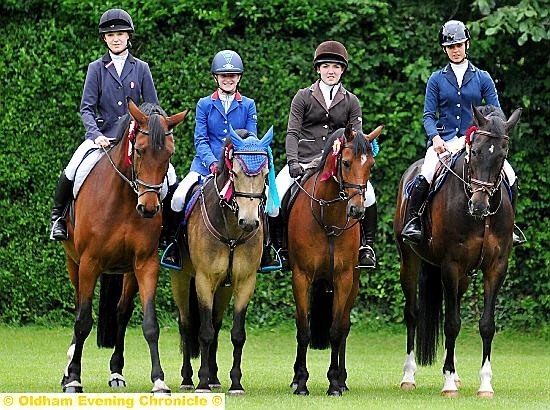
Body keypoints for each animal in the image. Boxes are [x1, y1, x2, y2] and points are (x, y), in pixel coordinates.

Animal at [60, 97, 190, 392]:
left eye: (169, 154)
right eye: (139, 151)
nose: (149, 209)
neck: (123, 199)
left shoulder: (145, 263)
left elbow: (150, 323)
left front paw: (159, 381)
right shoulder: (89, 263)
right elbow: (83, 321)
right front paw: (74, 378)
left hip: (127, 272)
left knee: (121, 313)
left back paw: (116, 372)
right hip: (74, 263)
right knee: (78, 307)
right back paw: (68, 369)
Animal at [169, 126, 274, 396]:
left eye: (265, 175)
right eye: (234, 173)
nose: (249, 222)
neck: (232, 232)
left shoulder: (245, 282)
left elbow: (236, 334)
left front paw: (235, 384)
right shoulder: (203, 281)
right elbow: (203, 332)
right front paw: (202, 383)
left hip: (224, 290)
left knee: (216, 326)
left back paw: (216, 378)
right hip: (181, 280)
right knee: (187, 325)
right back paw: (188, 379)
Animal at [288, 123, 384, 396]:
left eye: (371, 164)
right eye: (347, 163)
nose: (357, 211)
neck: (328, 216)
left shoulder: (344, 278)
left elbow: (336, 330)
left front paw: (333, 383)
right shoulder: (301, 277)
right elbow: (304, 329)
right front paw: (301, 382)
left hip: (354, 282)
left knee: (345, 326)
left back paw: (342, 379)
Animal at [396, 105, 520, 398]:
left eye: (502, 156)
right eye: (475, 152)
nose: (479, 205)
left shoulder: (496, 267)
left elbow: (486, 325)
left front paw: (484, 384)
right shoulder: (450, 265)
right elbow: (452, 323)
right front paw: (448, 384)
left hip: (462, 276)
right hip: (409, 261)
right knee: (412, 314)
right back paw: (409, 377)